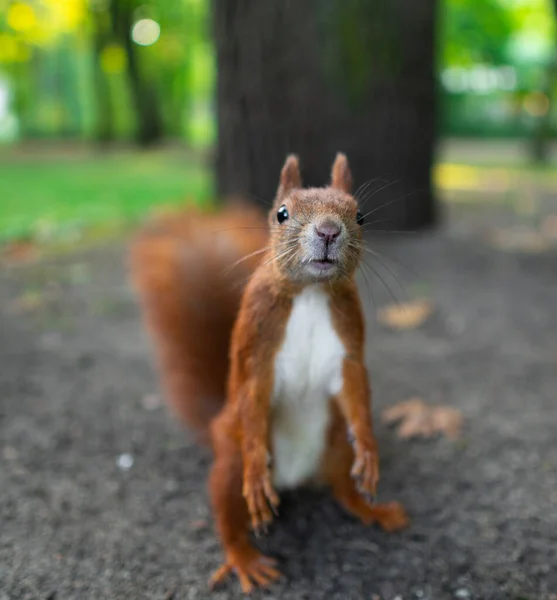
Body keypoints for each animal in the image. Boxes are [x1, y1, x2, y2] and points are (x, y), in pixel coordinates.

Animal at [130, 152, 408, 592]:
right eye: (282, 213)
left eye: (360, 215)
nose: (328, 231)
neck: (311, 293)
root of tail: (295, 480)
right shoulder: (256, 347)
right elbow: (254, 395)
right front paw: (258, 472)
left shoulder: (348, 345)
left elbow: (355, 389)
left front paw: (369, 448)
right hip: (230, 465)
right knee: (229, 514)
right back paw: (245, 557)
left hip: (335, 443)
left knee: (343, 490)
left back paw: (372, 509)